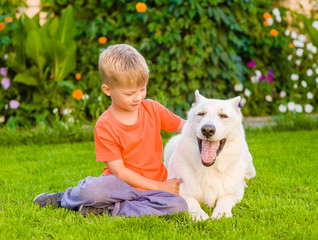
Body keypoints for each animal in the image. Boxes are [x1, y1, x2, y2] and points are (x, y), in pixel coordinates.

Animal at [164, 90, 256, 221]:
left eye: (223, 116)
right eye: (201, 114)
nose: (207, 130)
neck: (209, 168)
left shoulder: (234, 194)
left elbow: (225, 198)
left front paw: (221, 213)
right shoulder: (178, 191)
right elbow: (191, 201)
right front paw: (198, 214)